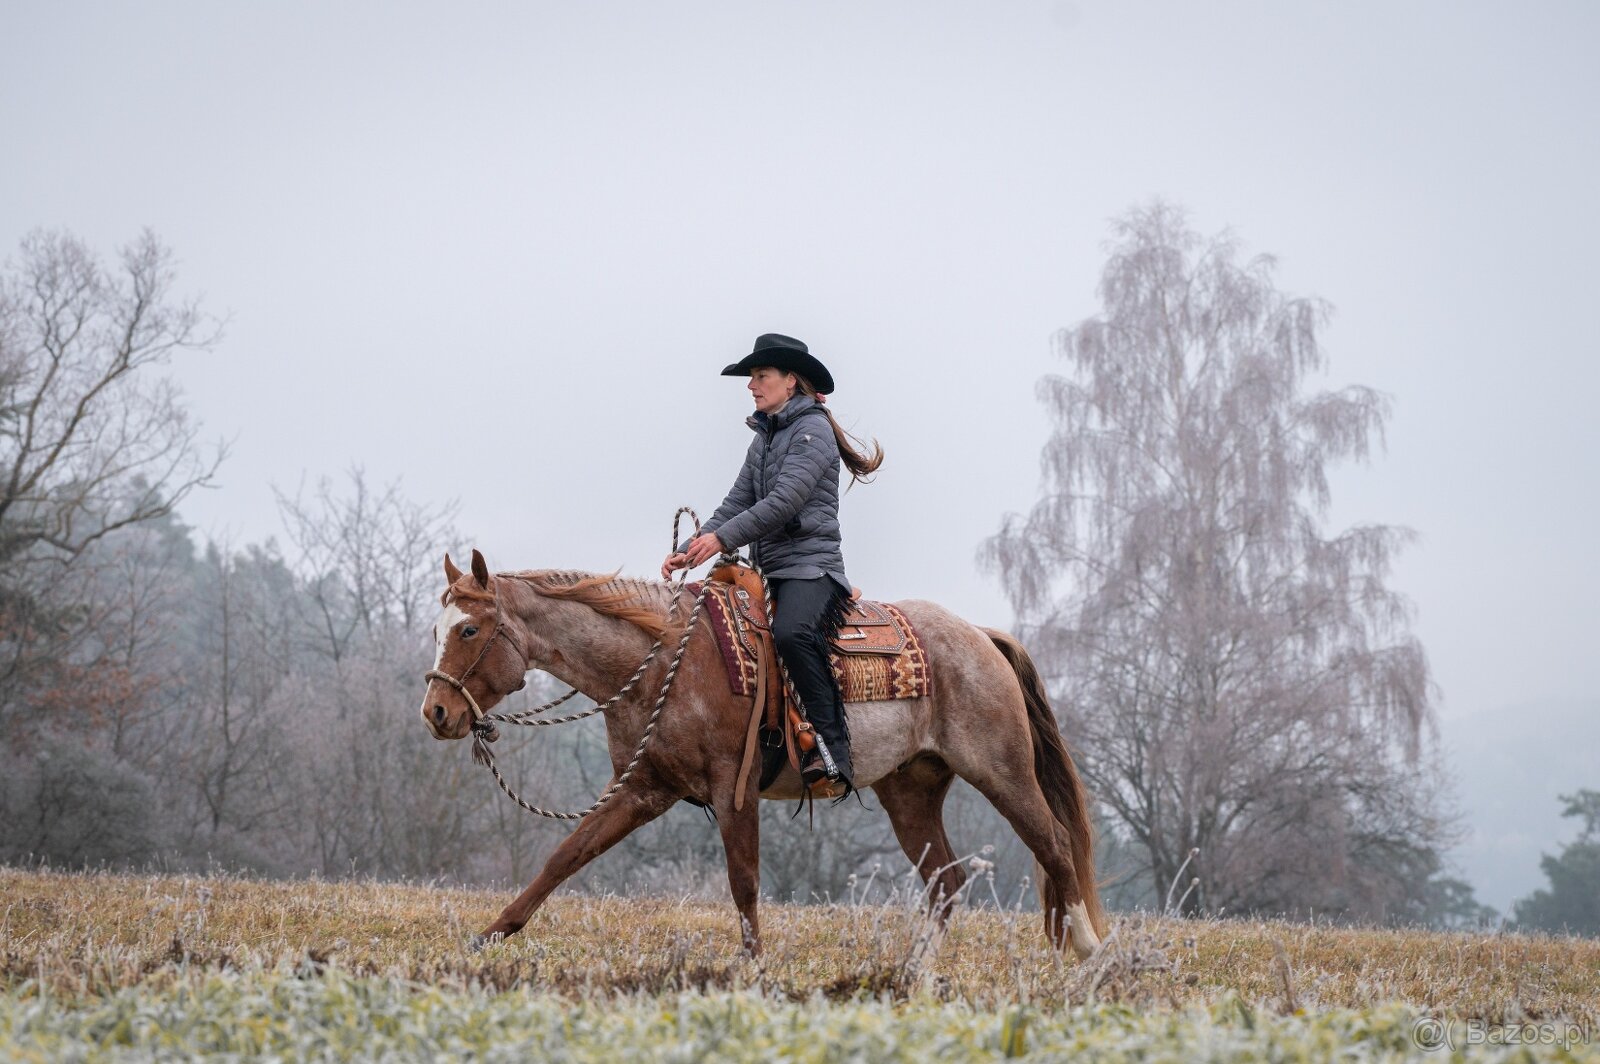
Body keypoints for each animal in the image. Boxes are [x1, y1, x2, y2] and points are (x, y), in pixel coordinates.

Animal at [420, 549, 1106, 959]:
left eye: (469, 629)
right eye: (437, 629)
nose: (436, 713)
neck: (662, 662)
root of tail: (981, 637)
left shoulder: (735, 789)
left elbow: (744, 882)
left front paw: (751, 971)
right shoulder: (642, 789)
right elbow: (565, 857)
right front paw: (488, 937)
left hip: (1002, 772)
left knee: (1054, 845)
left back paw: (1089, 951)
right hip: (910, 792)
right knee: (946, 882)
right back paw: (914, 976)